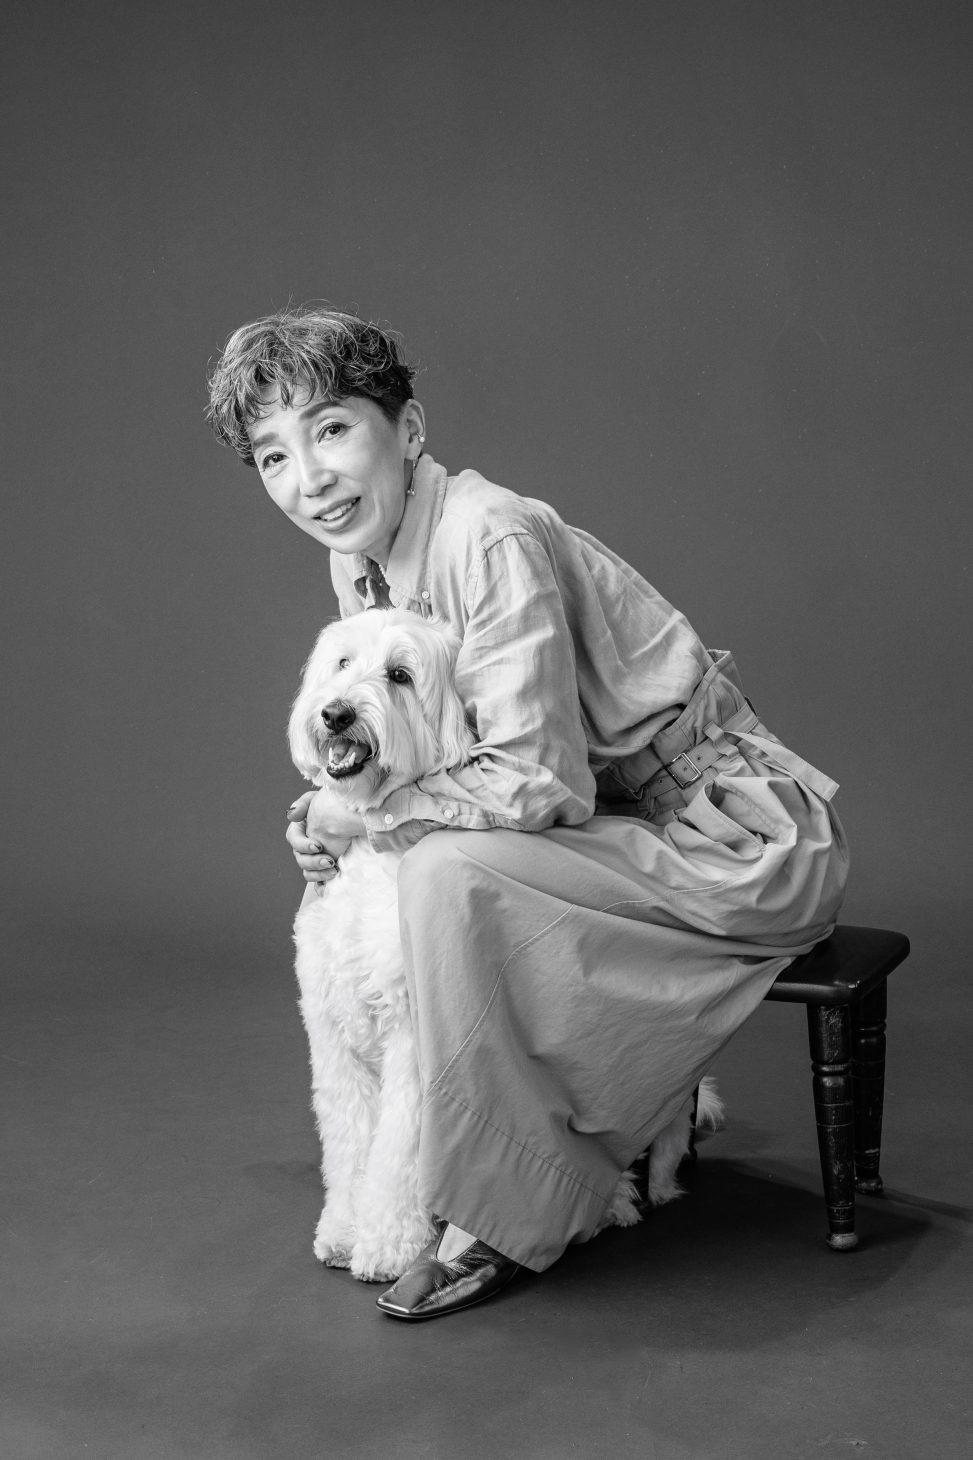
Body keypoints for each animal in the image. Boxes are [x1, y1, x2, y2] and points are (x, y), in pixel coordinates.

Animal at [288, 607, 722, 1282]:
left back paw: (613, 1205)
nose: (335, 713)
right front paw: (341, 1230)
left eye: (400, 675)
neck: (373, 853)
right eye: (342, 662)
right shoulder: (334, 1035)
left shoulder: (415, 1039)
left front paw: (387, 1244)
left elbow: (398, 1149)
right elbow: (349, 1140)